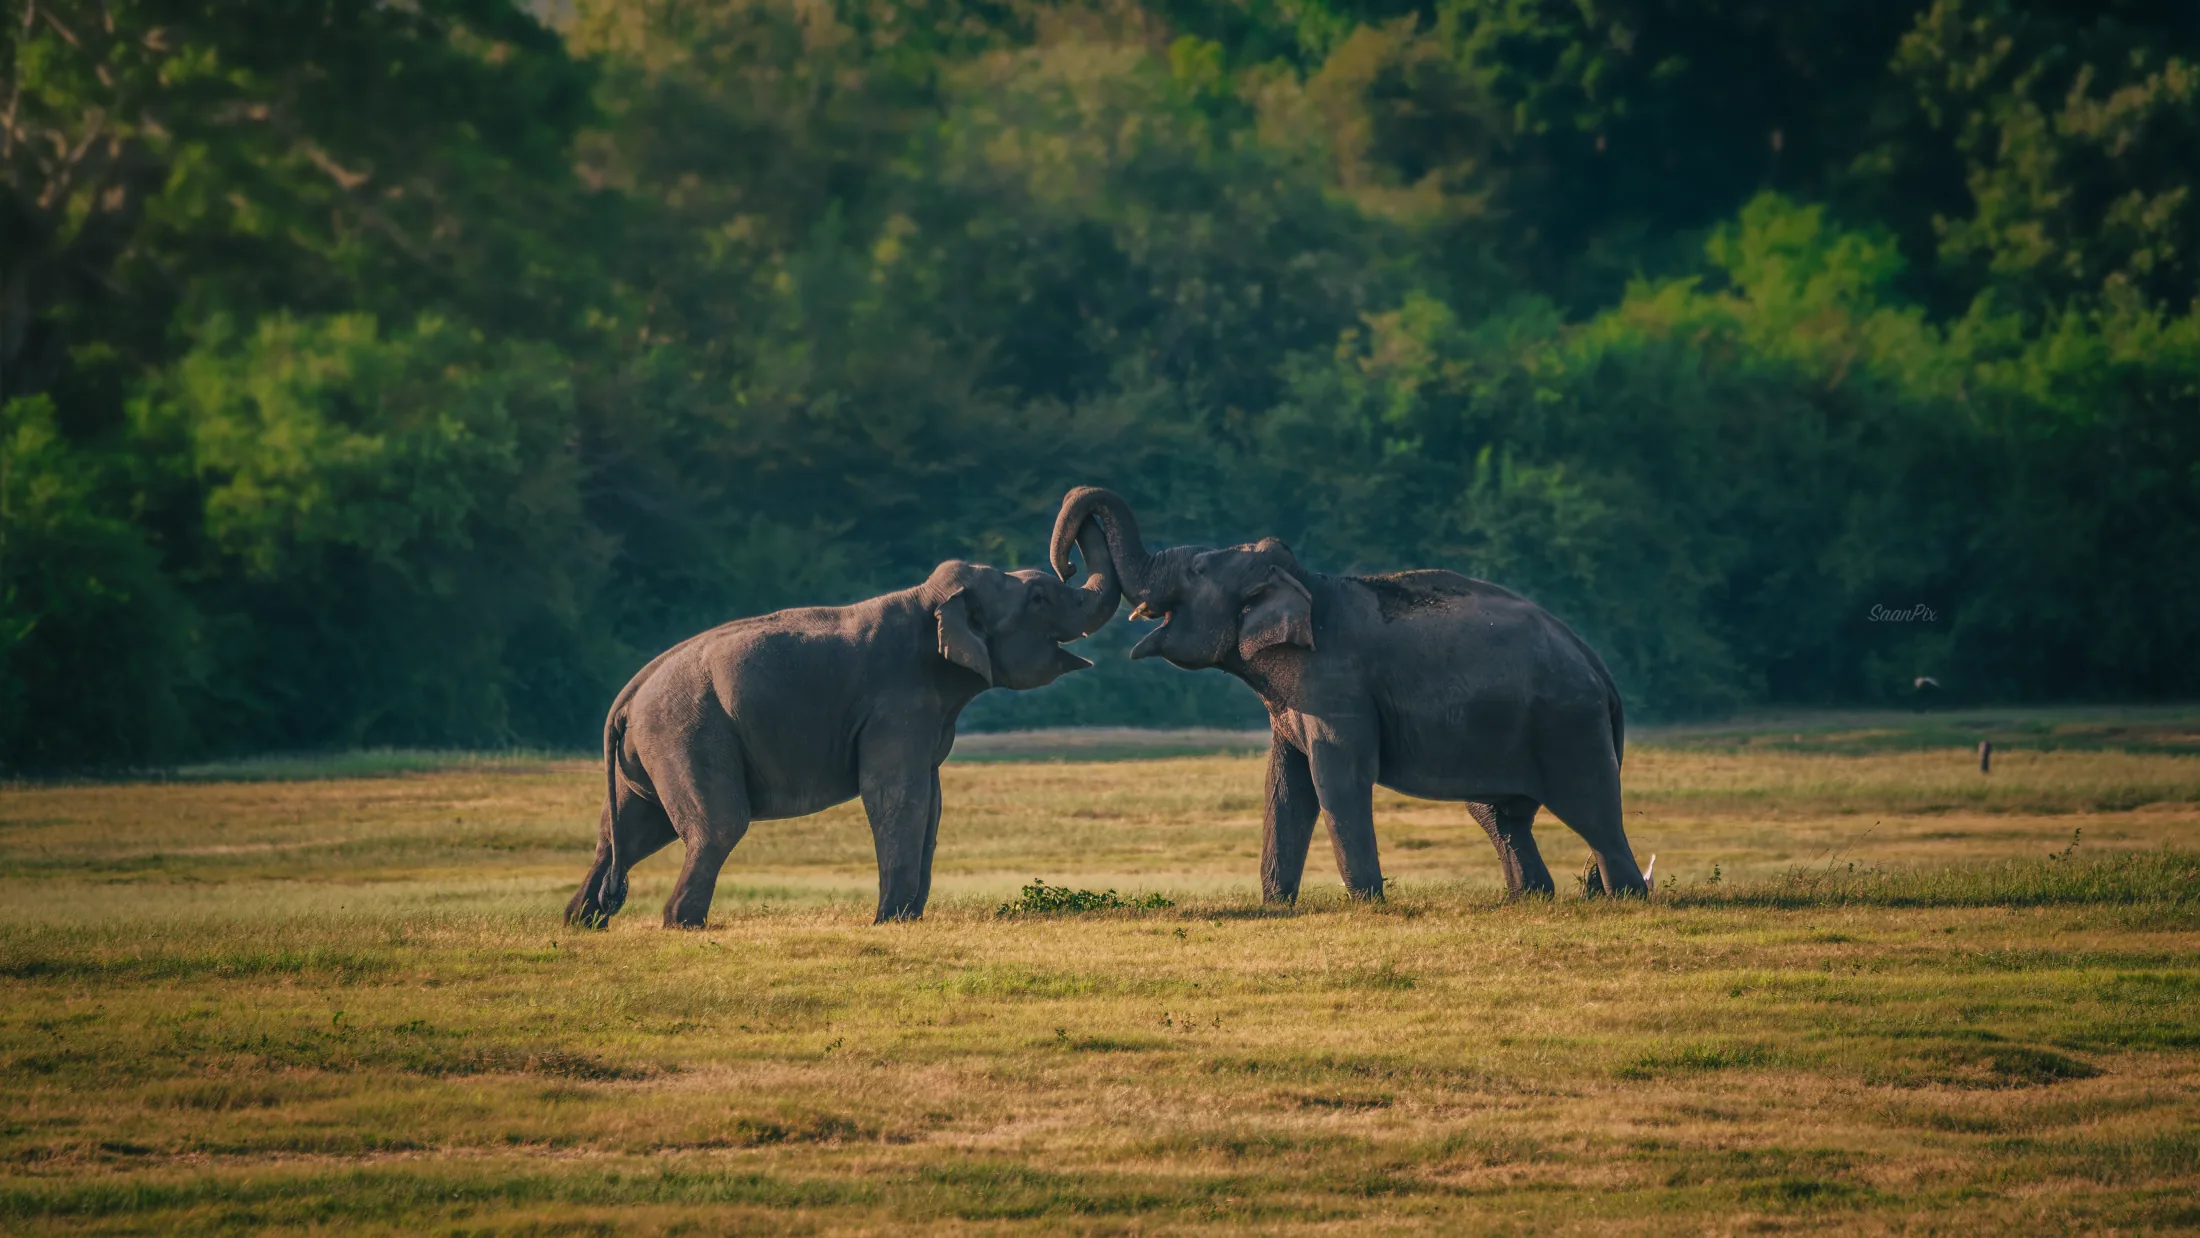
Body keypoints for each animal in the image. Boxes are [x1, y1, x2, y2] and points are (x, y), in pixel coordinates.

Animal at [565, 526, 1121, 928]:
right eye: (1040, 597)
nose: (1069, 558)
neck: (927, 600)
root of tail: (628, 696)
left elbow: (931, 803)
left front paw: (908, 919)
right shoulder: (896, 703)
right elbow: (894, 795)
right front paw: (890, 923)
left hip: (650, 753)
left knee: (625, 833)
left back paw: (583, 922)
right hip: (687, 733)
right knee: (716, 826)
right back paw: (682, 925)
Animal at [1050, 487, 1647, 901]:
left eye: (1196, 568)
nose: (1067, 564)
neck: (1307, 581)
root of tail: (1599, 667)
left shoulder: (1336, 687)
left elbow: (1336, 778)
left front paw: (1366, 903)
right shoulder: (1293, 702)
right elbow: (1284, 784)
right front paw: (1275, 907)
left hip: (1567, 723)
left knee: (1593, 811)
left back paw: (1622, 899)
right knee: (1501, 816)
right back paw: (1530, 899)